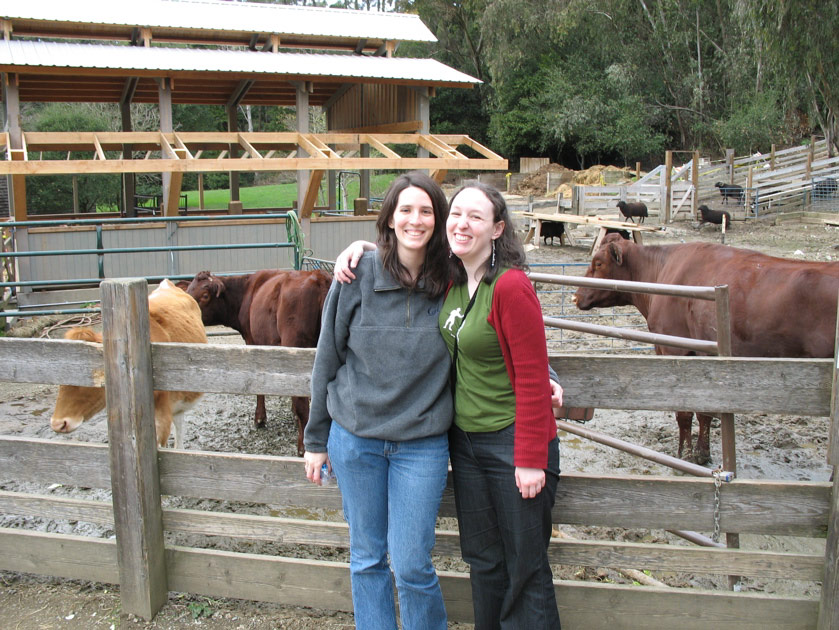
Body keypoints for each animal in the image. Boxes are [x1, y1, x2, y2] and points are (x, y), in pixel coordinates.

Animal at [185, 270, 330, 456]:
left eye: (205, 295)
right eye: (188, 291)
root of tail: (319, 277)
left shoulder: (252, 340)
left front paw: (260, 418)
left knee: (303, 405)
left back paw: (302, 447)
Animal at [576, 235, 839, 466]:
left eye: (598, 263)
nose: (575, 296)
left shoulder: (676, 350)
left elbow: (687, 412)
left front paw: (685, 454)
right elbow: (706, 413)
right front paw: (702, 454)